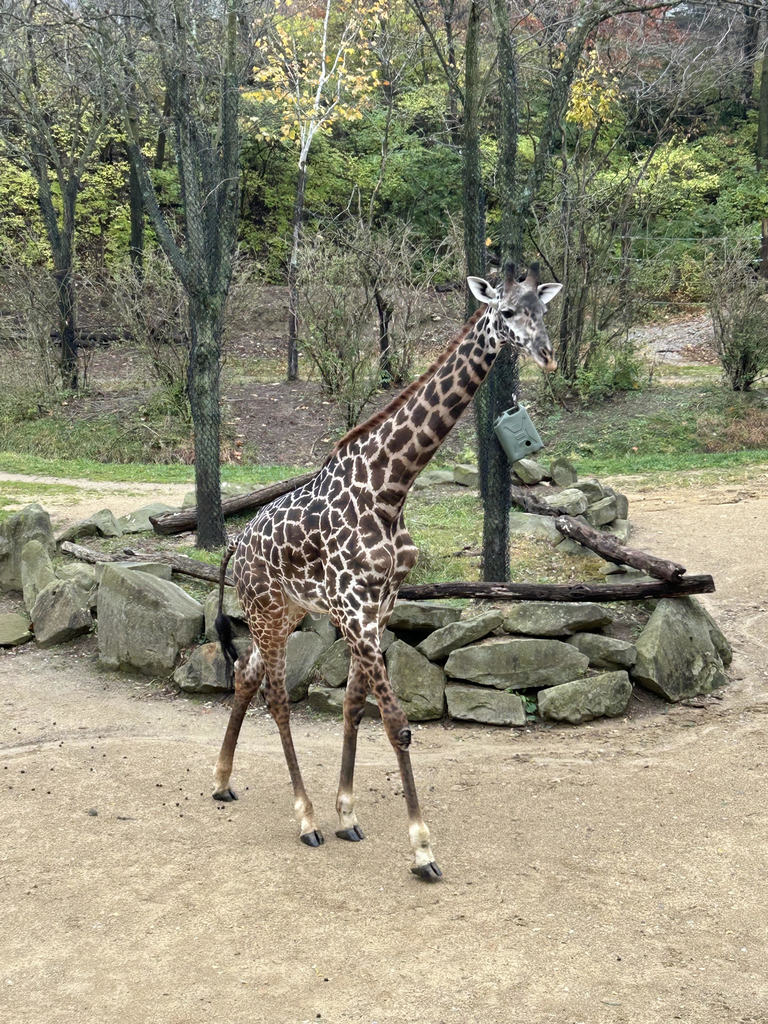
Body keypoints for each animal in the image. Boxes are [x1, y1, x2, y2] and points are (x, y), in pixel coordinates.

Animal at [212, 262, 562, 881]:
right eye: (506, 312)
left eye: (543, 310)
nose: (546, 354)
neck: (389, 489)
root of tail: (238, 544)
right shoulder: (353, 608)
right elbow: (397, 722)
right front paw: (422, 849)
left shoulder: (379, 606)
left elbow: (355, 706)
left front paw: (348, 814)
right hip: (267, 611)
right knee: (276, 697)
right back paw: (303, 820)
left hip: (285, 612)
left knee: (246, 677)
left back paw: (225, 780)